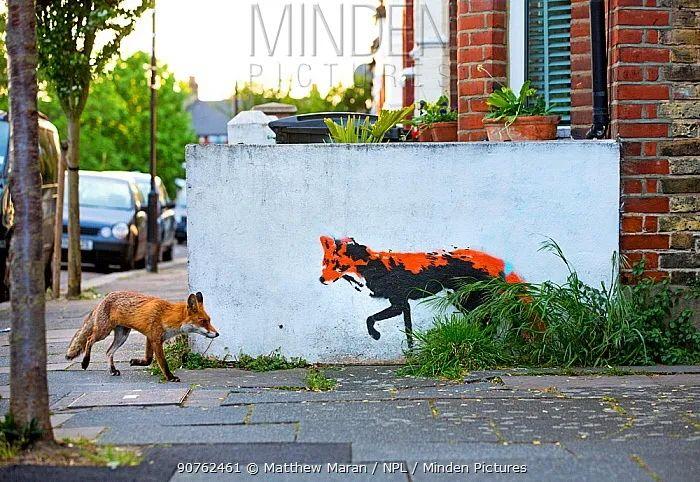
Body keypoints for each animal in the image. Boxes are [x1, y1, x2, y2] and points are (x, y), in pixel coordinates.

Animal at [66, 292, 219, 382]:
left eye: (209, 320)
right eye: (203, 321)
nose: (217, 334)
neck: (166, 316)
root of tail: (105, 297)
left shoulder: (150, 338)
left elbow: (149, 359)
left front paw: (136, 362)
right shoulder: (155, 339)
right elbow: (163, 363)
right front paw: (170, 377)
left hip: (122, 336)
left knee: (108, 352)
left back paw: (113, 370)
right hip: (103, 332)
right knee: (89, 340)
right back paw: (85, 362)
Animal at [320, 236, 524, 346]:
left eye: (337, 265)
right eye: (325, 262)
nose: (321, 279)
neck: (372, 267)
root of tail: (498, 263)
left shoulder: (399, 303)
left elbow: (370, 319)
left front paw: (375, 335)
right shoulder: (405, 306)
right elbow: (408, 333)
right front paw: (411, 354)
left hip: (465, 300)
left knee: (489, 319)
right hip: (462, 300)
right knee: (486, 319)